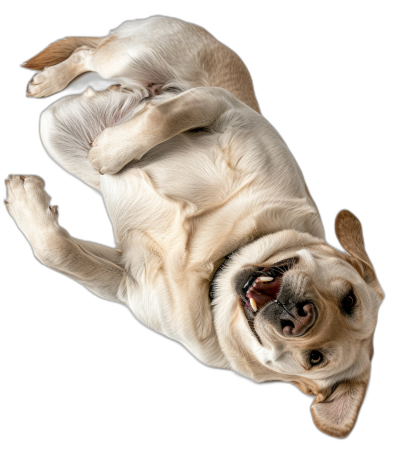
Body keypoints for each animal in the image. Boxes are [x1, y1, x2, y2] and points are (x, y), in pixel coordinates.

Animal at [4, 15, 382, 440]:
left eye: (315, 358)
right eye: (349, 299)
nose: (300, 317)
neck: (220, 261)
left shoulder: (124, 281)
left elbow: (57, 250)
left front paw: (26, 201)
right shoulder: (221, 104)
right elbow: (165, 115)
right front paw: (111, 151)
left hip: (58, 128)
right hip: (126, 58)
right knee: (92, 54)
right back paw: (50, 82)